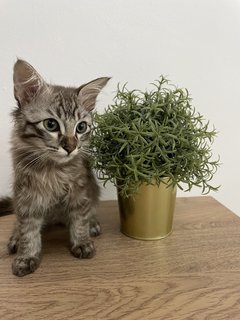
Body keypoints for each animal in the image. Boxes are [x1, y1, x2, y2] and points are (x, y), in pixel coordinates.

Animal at [0, 60, 110, 278]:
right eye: (51, 124)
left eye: (81, 127)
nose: (71, 147)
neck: (53, 169)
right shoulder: (27, 197)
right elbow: (28, 229)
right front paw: (26, 256)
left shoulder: (80, 190)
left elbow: (80, 219)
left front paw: (82, 242)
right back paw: (15, 237)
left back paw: (92, 223)